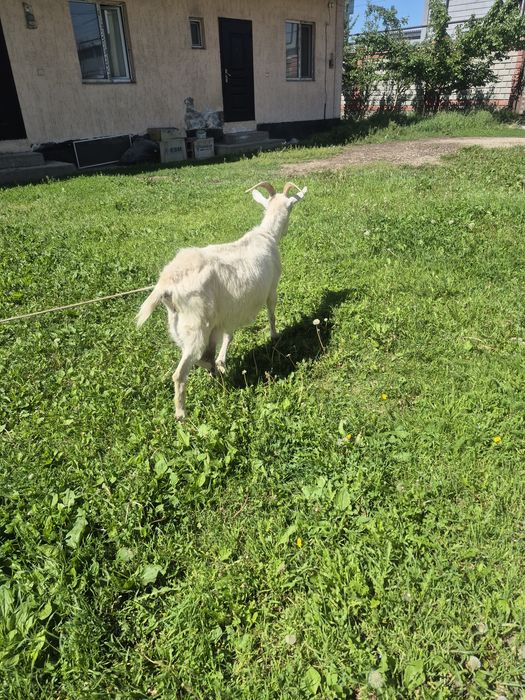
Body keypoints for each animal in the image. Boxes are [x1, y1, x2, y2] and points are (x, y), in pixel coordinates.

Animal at [136, 181, 307, 419]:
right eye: (291, 207)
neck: (266, 234)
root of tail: (167, 283)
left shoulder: (231, 310)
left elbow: (228, 335)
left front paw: (222, 360)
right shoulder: (272, 288)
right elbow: (272, 312)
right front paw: (274, 336)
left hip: (178, 326)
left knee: (200, 355)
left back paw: (214, 368)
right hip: (195, 326)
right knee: (180, 373)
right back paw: (181, 413)